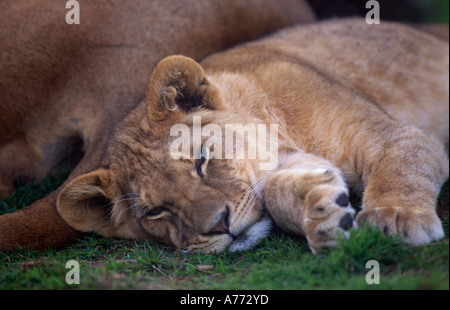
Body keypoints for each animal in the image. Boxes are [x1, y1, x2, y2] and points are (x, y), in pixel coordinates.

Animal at [53, 18, 450, 253]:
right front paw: (321, 214)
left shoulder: (391, 135)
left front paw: (395, 218)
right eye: (155, 211)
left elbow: (400, 170)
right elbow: (275, 189)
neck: (281, 132)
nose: (219, 226)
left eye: (202, 159)